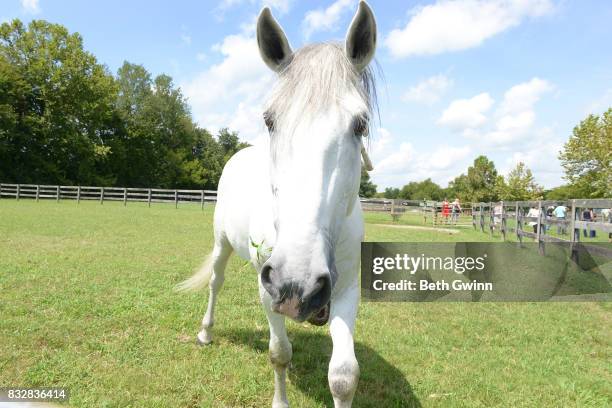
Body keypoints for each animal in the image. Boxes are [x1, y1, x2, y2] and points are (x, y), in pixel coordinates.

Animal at [178, 2, 378, 404]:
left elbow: (344, 375)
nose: (296, 282)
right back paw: (205, 332)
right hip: (222, 244)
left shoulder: (347, 290)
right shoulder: (267, 289)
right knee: (216, 283)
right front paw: (280, 401)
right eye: (270, 120)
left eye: (360, 124)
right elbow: (279, 353)